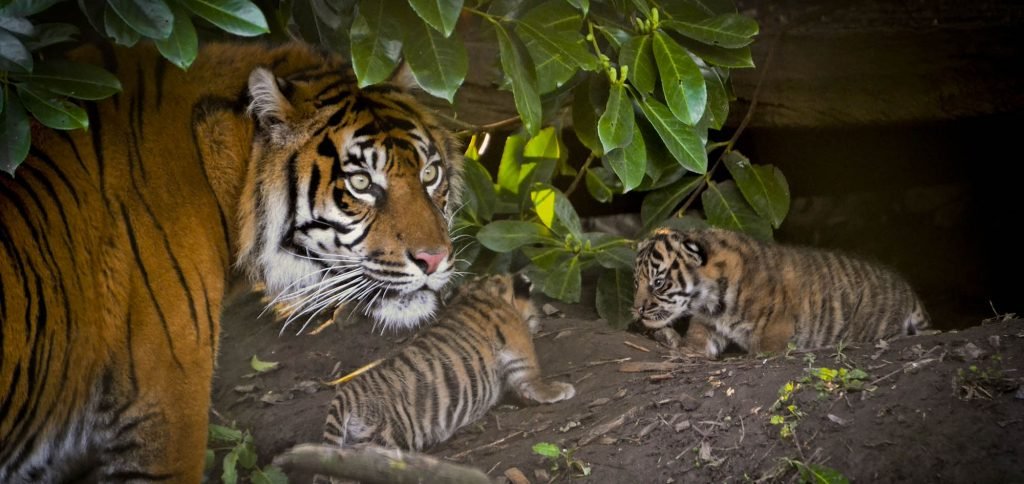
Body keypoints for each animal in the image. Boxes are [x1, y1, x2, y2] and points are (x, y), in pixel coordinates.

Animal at [320, 273, 575, 469]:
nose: (539, 322)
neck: (482, 292)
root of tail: (345, 396)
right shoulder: (519, 351)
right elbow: (532, 379)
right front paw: (559, 390)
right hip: (388, 435)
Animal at [633, 228, 930, 359]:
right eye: (636, 282)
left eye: (658, 282)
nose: (638, 309)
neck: (710, 301)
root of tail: (907, 288)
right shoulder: (708, 325)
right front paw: (677, 345)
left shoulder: (775, 331)